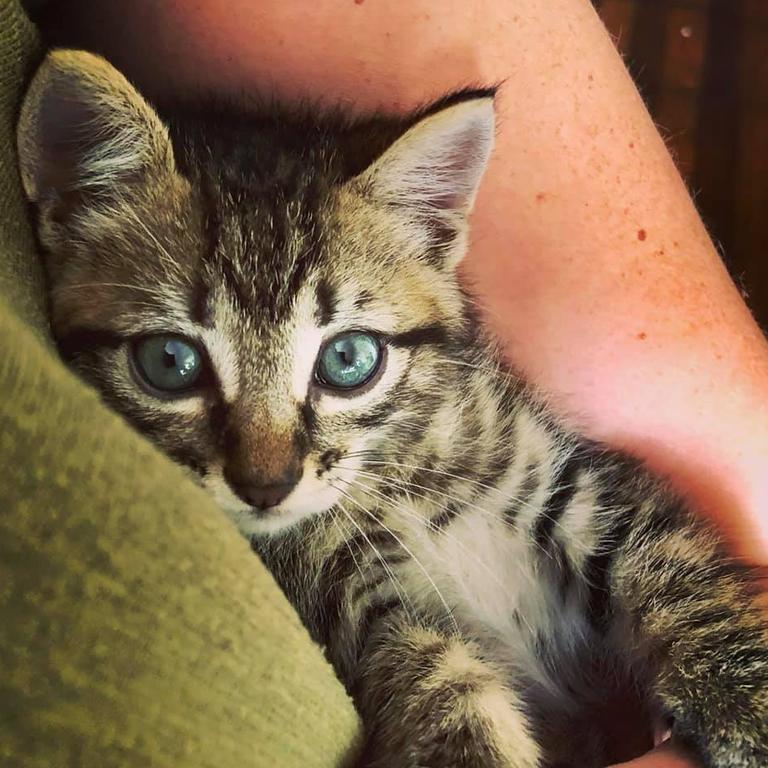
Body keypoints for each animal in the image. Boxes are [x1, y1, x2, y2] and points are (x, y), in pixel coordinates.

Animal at [18, 51, 768, 764]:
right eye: (170, 363)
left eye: (348, 359)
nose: (265, 485)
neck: (397, 479)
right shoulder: (354, 605)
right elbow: (439, 681)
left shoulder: (572, 474)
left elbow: (667, 563)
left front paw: (748, 701)